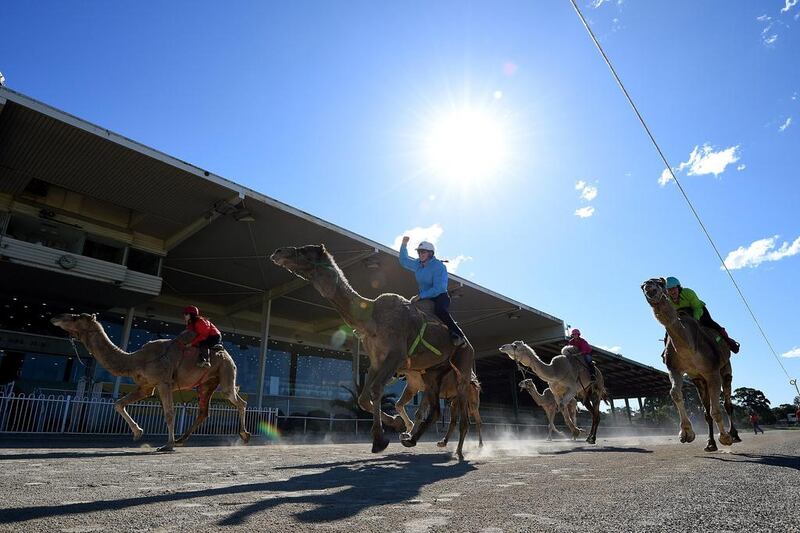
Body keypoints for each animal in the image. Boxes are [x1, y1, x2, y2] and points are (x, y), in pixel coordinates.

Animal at [50, 312, 250, 448]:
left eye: (75, 317)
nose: (55, 317)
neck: (136, 360)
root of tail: (228, 355)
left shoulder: (164, 382)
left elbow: (169, 413)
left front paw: (167, 445)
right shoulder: (146, 387)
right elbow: (119, 403)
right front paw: (138, 433)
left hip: (226, 372)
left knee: (239, 401)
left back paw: (245, 435)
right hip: (206, 382)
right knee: (203, 411)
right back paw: (181, 439)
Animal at [272, 244, 478, 458]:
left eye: (306, 251)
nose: (278, 252)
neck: (371, 318)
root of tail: (470, 346)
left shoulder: (396, 356)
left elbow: (376, 389)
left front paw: (379, 440)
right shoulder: (377, 360)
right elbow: (363, 398)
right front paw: (397, 424)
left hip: (463, 369)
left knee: (464, 415)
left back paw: (460, 452)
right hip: (431, 373)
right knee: (435, 409)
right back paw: (412, 440)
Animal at [640, 276, 740, 450]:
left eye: (660, 283)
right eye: (641, 287)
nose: (649, 287)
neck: (688, 346)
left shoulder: (712, 371)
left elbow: (716, 410)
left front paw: (725, 438)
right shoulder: (675, 369)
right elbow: (675, 393)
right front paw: (686, 434)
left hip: (726, 366)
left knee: (727, 401)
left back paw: (733, 435)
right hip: (699, 380)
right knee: (706, 410)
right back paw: (710, 443)